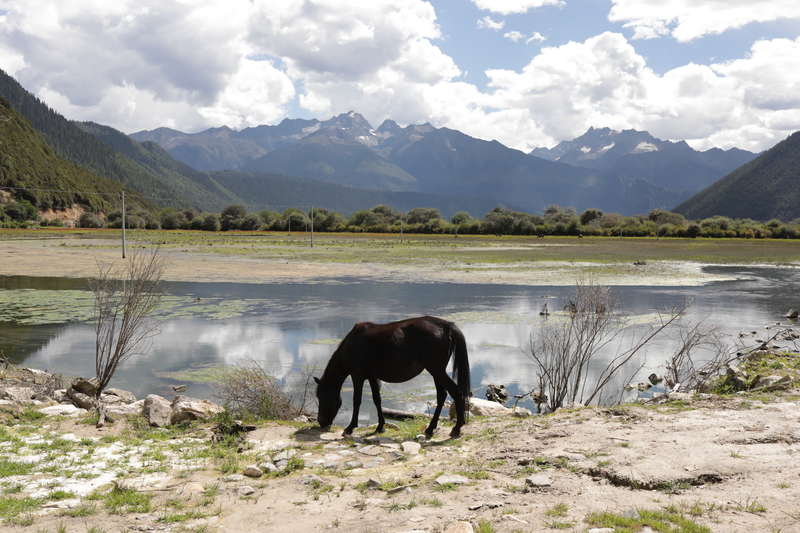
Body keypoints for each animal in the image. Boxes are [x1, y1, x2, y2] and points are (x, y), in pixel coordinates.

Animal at [316, 316, 472, 436]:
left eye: (321, 396)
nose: (321, 422)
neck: (352, 345)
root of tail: (446, 326)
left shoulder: (357, 376)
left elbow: (357, 400)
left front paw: (350, 427)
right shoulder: (372, 377)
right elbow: (377, 400)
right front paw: (380, 427)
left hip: (437, 370)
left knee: (456, 393)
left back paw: (456, 428)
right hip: (437, 372)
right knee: (441, 396)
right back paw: (430, 429)